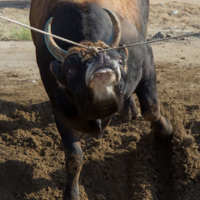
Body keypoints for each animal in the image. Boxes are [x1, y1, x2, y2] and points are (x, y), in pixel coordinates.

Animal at [29, 0, 172, 199]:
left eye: (119, 60)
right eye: (69, 70)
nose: (101, 59)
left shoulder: (147, 66)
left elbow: (151, 109)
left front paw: (166, 130)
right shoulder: (61, 115)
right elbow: (74, 158)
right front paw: (71, 193)